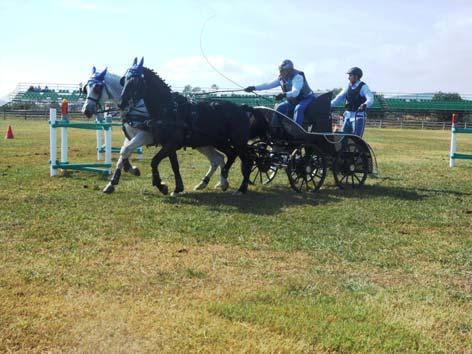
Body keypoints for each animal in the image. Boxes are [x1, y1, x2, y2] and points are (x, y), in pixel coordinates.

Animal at [81, 66, 229, 194]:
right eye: (86, 88)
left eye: (97, 88)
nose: (85, 110)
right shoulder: (130, 135)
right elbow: (123, 153)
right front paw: (118, 179)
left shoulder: (144, 136)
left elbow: (125, 151)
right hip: (202, 144)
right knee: (218, 159)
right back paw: (212, 183)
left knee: (219, 158)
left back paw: (220, 182)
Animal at [115, 59, 260, 195]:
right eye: (124, 80)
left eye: (135, 81)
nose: (121, 104)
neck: (169, 110)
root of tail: (243, 108)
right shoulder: (168, 145)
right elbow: (174, 166)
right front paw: (177, 188)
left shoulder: (171, 144)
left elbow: (154, 161)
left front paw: (161, 186)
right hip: (220, 142)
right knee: (230, 155)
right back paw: (220, 180)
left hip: (238, 142)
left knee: (247, 161)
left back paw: (241, 188)